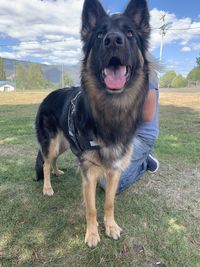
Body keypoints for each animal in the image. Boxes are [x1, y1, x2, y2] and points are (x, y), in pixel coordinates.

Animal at [34, 0, 150, 248]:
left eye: (129, 33)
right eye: (99, 35)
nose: (113, 40)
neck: (111, 112)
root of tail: (47, 96)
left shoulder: (114, 171)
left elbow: (109, 203)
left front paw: (111, 227)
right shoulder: (90, 173)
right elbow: (91, 208)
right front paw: (92, 234)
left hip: (63, 145)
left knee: (53, 160)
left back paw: (57, 172)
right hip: (52, 143)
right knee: (46, 163)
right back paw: (48, 186)